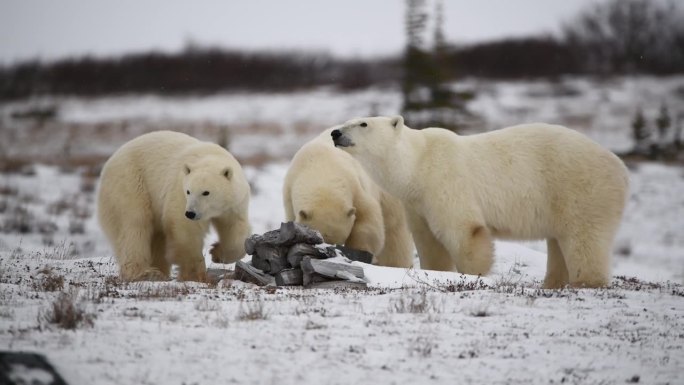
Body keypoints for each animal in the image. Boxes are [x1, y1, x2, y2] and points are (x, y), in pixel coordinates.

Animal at [97, 130, 250, 280]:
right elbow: (185, 228)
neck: (211, 156)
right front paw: (194, 273)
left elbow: (235, 229)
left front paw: (216, 253)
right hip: (130, 183)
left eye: (206, 192)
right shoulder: (179, 191)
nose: (190, 213)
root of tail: (109, 162)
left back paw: (160, 270)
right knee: (135, 225)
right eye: (188, 191)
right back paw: (145, 273)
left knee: (157, 236)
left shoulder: (234, 204)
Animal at [282, 129, 414, 268]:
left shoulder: (355, 185)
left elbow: (368, 219)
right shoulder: (289, 193)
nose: (330, 252)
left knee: (395, 232)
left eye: (340, 239)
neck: (321, 167)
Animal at [332, 115, 632, 286]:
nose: (335, 133)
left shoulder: (445, 180)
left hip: (580, 189)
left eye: (363, 123)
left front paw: (474, 275)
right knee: (558, 241)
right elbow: (429, 242)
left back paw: (587, 282)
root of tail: (620, 167)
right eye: (350, 120)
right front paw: (439, 272)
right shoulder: (417, 203)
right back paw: (552, 283)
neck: (418, 164)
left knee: (584, 237)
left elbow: (465, 231)